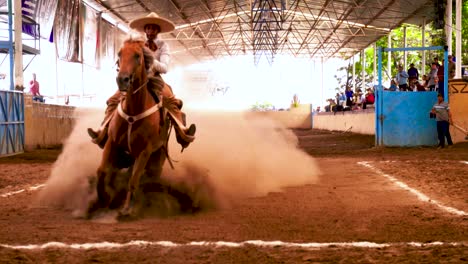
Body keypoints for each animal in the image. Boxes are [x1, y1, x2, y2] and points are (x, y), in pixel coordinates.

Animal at [87, 37, 171, 219]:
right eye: (119, 54)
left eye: (138, 55)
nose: (122, 79)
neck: (134, 110)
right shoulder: (112, 142)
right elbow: (102, 171)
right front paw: (104, 199)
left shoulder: (145, 151)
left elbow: (133, 180)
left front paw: (126, 209)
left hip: (158, 157)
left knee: (149, 176)